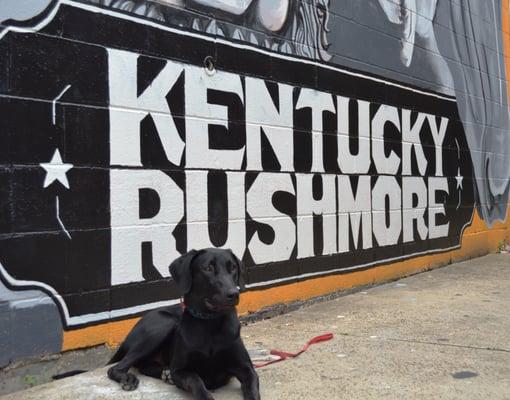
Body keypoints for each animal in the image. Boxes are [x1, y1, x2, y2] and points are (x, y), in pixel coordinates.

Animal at [106, 248, 260, 398]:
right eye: (208, 268)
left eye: (233, 267)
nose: (233, 294)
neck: (211, 323)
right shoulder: (180, 370)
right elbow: (195, 380)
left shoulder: (246, 367)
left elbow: (252, 388)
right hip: (164, 324)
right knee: (116, 368)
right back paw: (128, 378)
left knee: (144, 366)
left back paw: (165, 373)